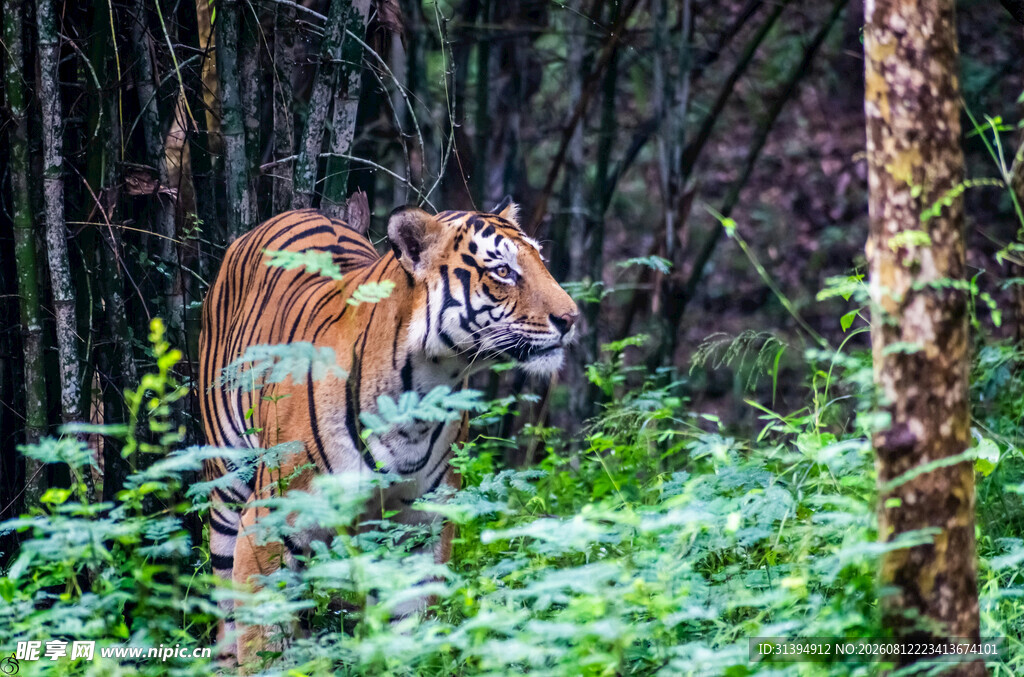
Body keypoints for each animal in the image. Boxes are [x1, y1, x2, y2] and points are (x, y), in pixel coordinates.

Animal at [198, 199, 578, 663]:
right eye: (503, 271)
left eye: (541, 261)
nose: (571, 318)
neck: (419, 395)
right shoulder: (271, 520)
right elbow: (264, 641)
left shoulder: (420, 524)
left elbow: (409, 630)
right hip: (229, 477)